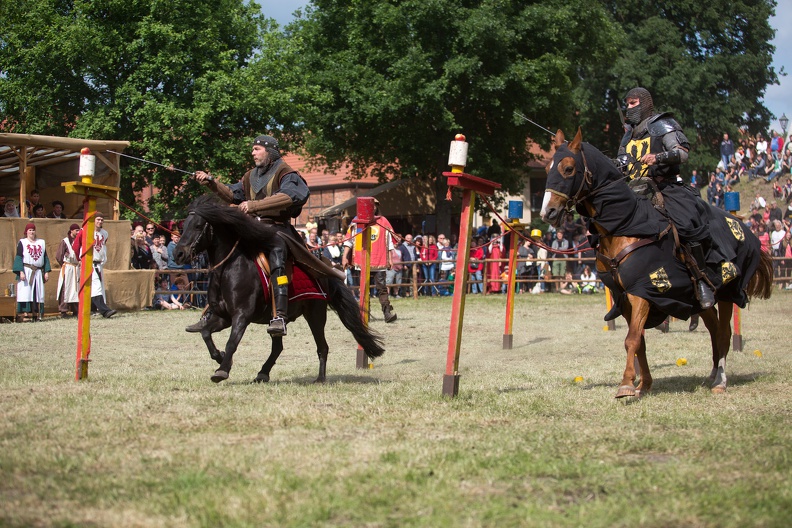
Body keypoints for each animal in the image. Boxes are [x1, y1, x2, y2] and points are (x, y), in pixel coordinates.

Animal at [174, 196, 386, 382]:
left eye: (198, 226)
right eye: (183, 226)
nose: (178, 254)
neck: (229, 269)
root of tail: (323, 271)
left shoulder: (241, 316)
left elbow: (232, 341)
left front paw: (222, 370)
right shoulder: (222, 317)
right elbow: (205, 333)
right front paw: (219, 356)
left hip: (315, 314)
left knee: (322, 346)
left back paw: (320, 378)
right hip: (276, 318)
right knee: (278, 347)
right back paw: (263, 373)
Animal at [540, 130, 772, 398]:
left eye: (568, 168)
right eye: (547, 168)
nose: (548, 212)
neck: (627, 224)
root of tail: (745, 227)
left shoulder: (643, 290)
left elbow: (631, 339)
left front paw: (626, 385)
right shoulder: (624, 297)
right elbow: (639, 340)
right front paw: (643, 384)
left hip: (727, 291)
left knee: (724, 334)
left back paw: (720, 381)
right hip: (701, 302)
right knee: (714, 329)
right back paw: (712, 374)